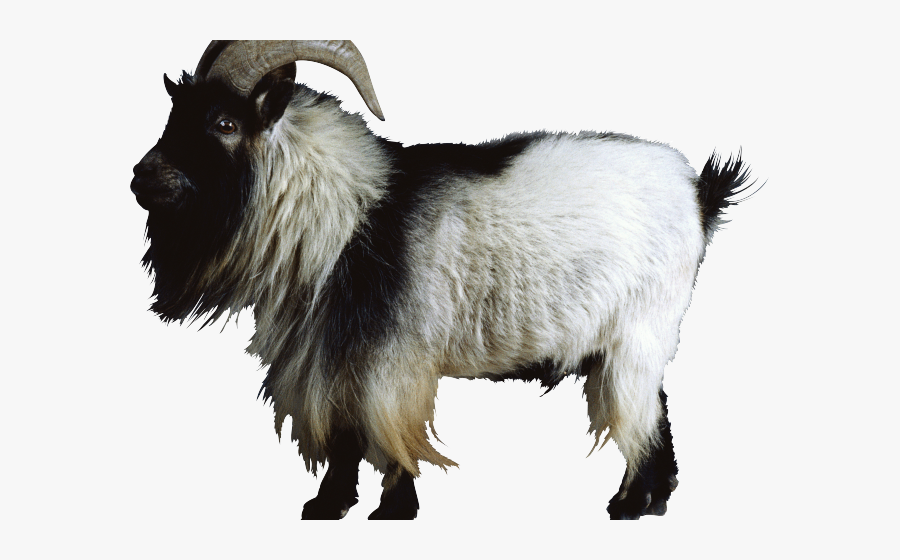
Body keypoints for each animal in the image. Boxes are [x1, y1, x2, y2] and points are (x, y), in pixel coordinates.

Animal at [130, 40, 754, 520]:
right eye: (175, 115)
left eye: (224, 123)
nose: (141, 177)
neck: (351, 212)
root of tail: (697, 191)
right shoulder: (334, 352)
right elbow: (344, 432)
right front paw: (328, 506)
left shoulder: (391, 355)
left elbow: (387, 426)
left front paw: (392, 509)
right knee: (658, 412)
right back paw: (652, 502)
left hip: (639, 334)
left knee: (640, 417)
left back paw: (627, 506)